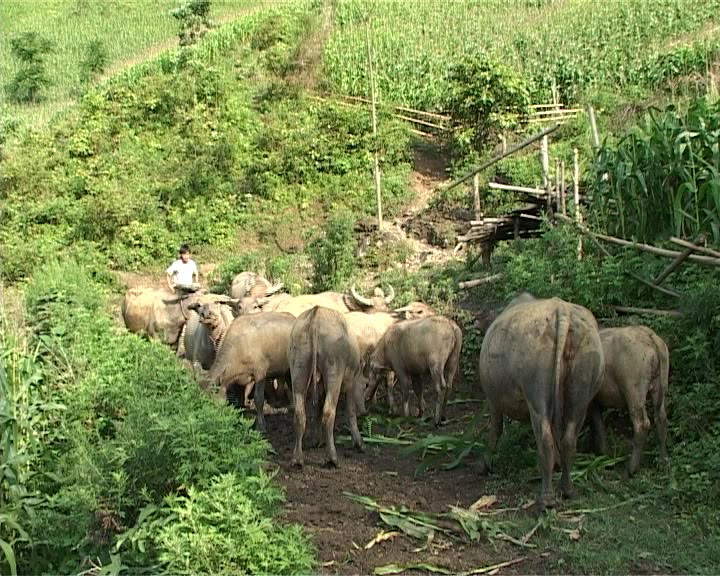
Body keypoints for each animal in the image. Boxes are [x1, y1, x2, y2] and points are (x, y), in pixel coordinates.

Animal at [286, 306, 366, 468]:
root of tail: (316, 315)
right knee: (328, 412)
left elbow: (316, 409)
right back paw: (332, 458)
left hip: (298, 367)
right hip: (334, 369)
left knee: (299, 413)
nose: (365, 411)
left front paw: (316, 441)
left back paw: (297, 459)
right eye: (364, 386)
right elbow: (350, 411)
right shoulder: (351, 383)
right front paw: (359, 443)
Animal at [480, 294, 604, 510]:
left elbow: (495, 428)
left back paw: (545, 499)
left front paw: (487, 463)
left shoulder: (493, 399)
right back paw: (567, 489)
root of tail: (562, 311)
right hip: (582, 387)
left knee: (545, 439)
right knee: (569, 437)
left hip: (536, 392)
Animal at [592, 326, 668, 474]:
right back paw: (663, 462)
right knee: (660, 418)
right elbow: (599, 423)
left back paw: (631, 468)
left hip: (633, 391)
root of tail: (649, 335)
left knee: (641, 424)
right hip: (659, 384)